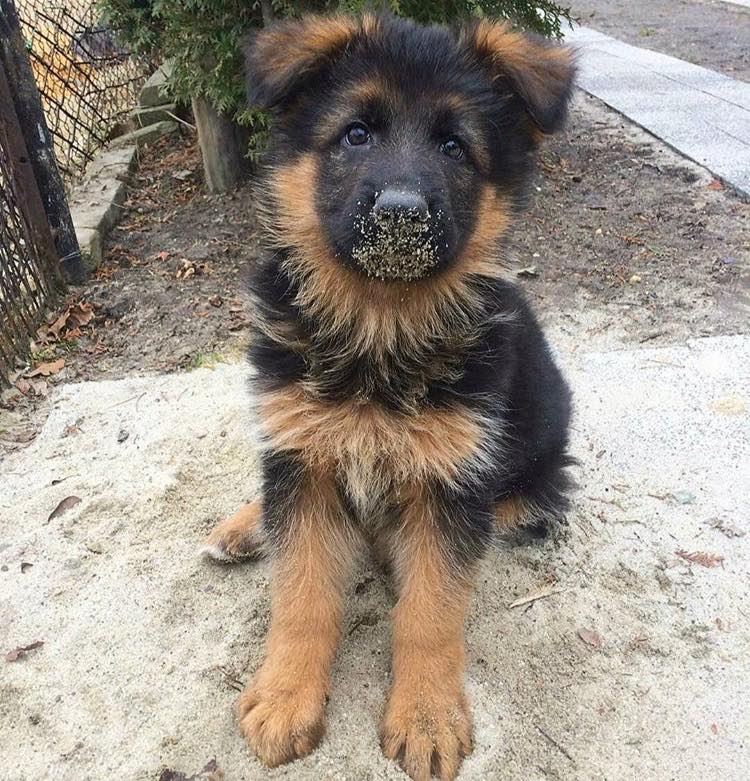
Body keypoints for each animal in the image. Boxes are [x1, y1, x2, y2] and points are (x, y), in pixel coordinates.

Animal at [203, 12, 580, 780]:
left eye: (454, 145)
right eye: (356, 134)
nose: (401, 214)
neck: (381, 321)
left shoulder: (452, 482)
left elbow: (430, 611)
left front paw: (427, 717)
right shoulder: (305, 454)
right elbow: (301, 593)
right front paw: (285, 697)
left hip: (535, 475)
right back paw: (247, 525)